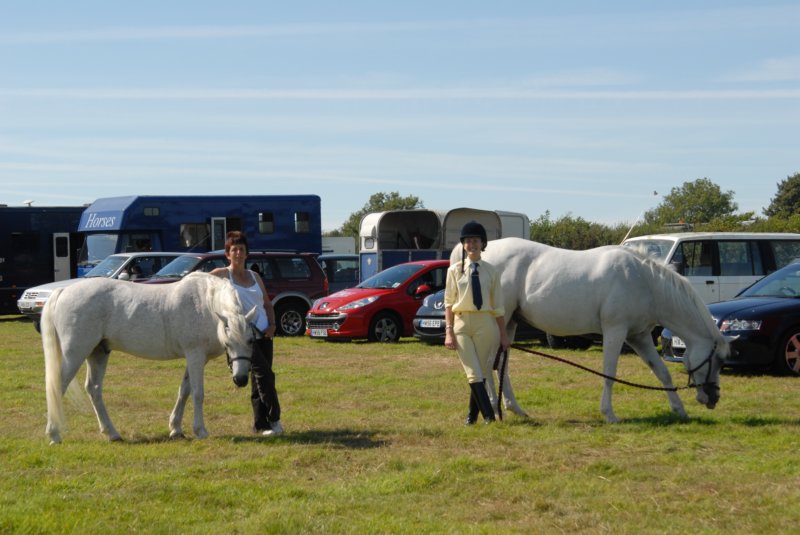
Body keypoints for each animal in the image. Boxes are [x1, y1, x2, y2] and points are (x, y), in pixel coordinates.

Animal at [41, 272, 256, 444]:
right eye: (228, 343)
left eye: (251, 340)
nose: (241, 379)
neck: (205, 304)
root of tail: (63, 291)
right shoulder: (195, 355)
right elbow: (197, 393)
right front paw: (200, 430)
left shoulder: (194, 359)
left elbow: (184, 391)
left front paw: (176, 429)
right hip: (75, 353)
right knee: (58, 386)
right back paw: (54, 435)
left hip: (98, 353)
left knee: (94, 389)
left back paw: (112, 433)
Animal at [450, 239, 732, 422]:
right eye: (718, 360)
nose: (713, 399)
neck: (644, 281)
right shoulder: (615, 331)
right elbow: (609, 372)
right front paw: (609, 414)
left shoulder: (639, 336)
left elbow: (661, 372)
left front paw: (679, 409)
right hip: (496, 322)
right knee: (487, 363)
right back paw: (492, 409)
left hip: (508, 324)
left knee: (500, 365)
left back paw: (513, 408)